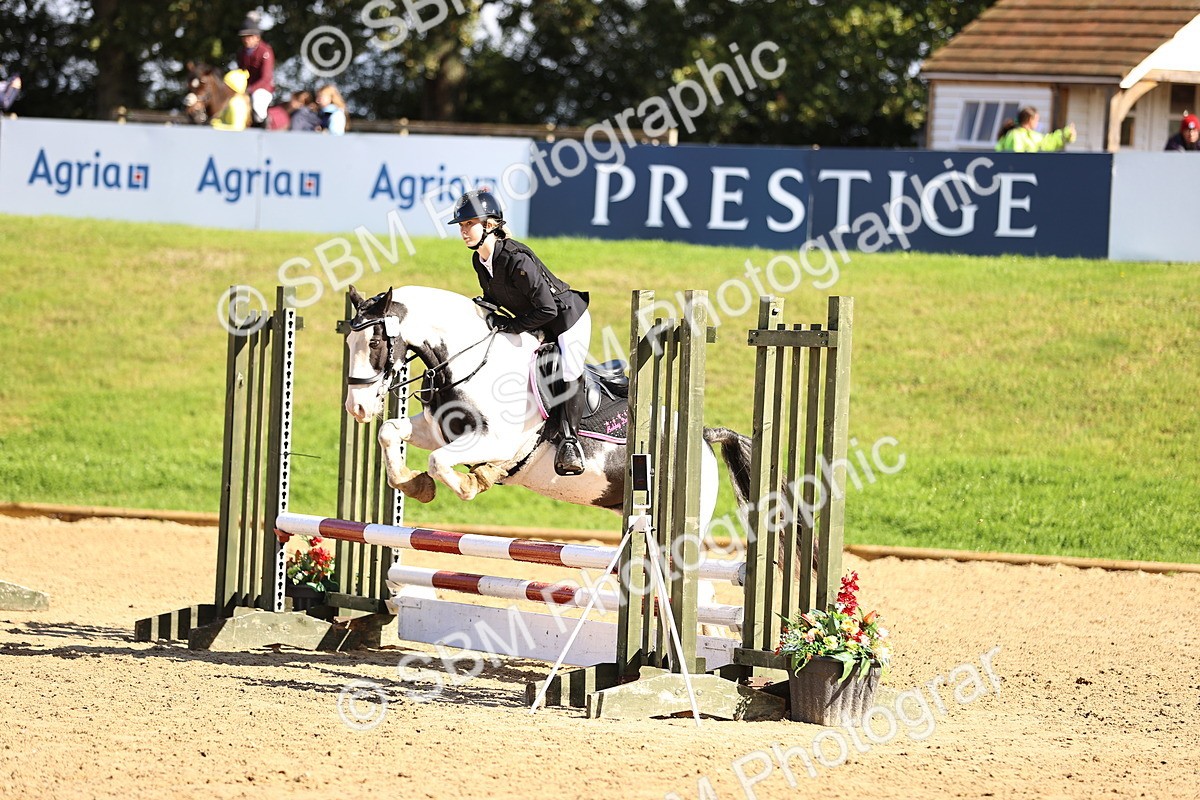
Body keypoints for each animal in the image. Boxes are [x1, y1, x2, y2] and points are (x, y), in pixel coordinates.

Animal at [342, 285, 757, 536]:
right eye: (349, 341)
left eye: (375, 342)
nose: (357, 407)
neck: (471, 361)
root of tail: (701, 436)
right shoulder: (439, 430)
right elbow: (391, 432)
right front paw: (415, 485)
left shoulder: (496, 440)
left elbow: (441, 462)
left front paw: (477, 479)